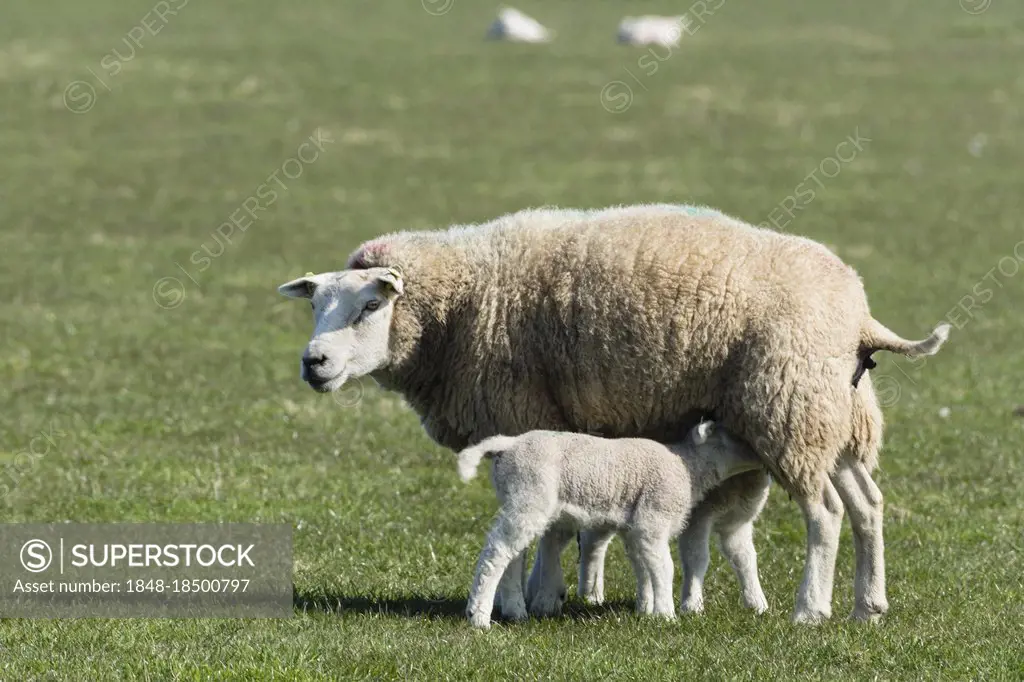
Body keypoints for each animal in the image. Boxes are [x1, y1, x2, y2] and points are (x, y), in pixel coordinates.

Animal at [460, 419, 765, 626]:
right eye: (735, 436)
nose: (761, 452)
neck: (688, 467)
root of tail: (508, 444)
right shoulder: (653, 518)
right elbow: (664, 568)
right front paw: (666, 614)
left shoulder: (635, 528)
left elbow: (643, 568)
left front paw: (646, 608)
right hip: (529, 494)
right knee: (497, 552)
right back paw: (479, 616)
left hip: (518, 497)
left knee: (512, 555)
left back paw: (515, 611)